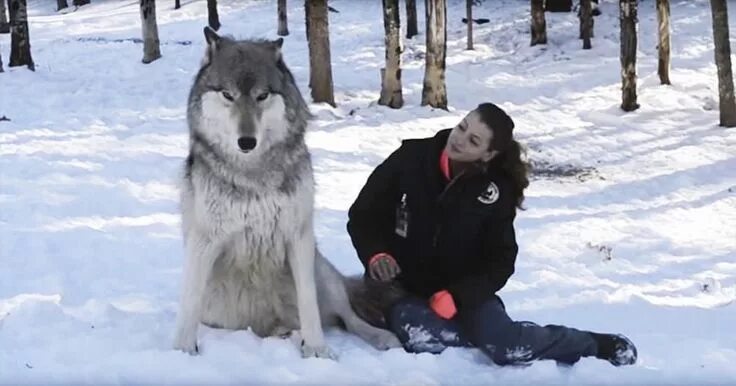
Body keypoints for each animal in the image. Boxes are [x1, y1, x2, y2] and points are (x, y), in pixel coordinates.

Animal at [172, 27, 400, 358]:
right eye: (227, 95)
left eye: (262, 96)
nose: (246, 141)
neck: (253, 173)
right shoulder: (205, 240)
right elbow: (188, 304)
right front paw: (182, 351)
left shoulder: (298, 236)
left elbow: (309, 304)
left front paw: (317, 351)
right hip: (218, 309)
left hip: (323, 271)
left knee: (348, 318)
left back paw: (381, 337)